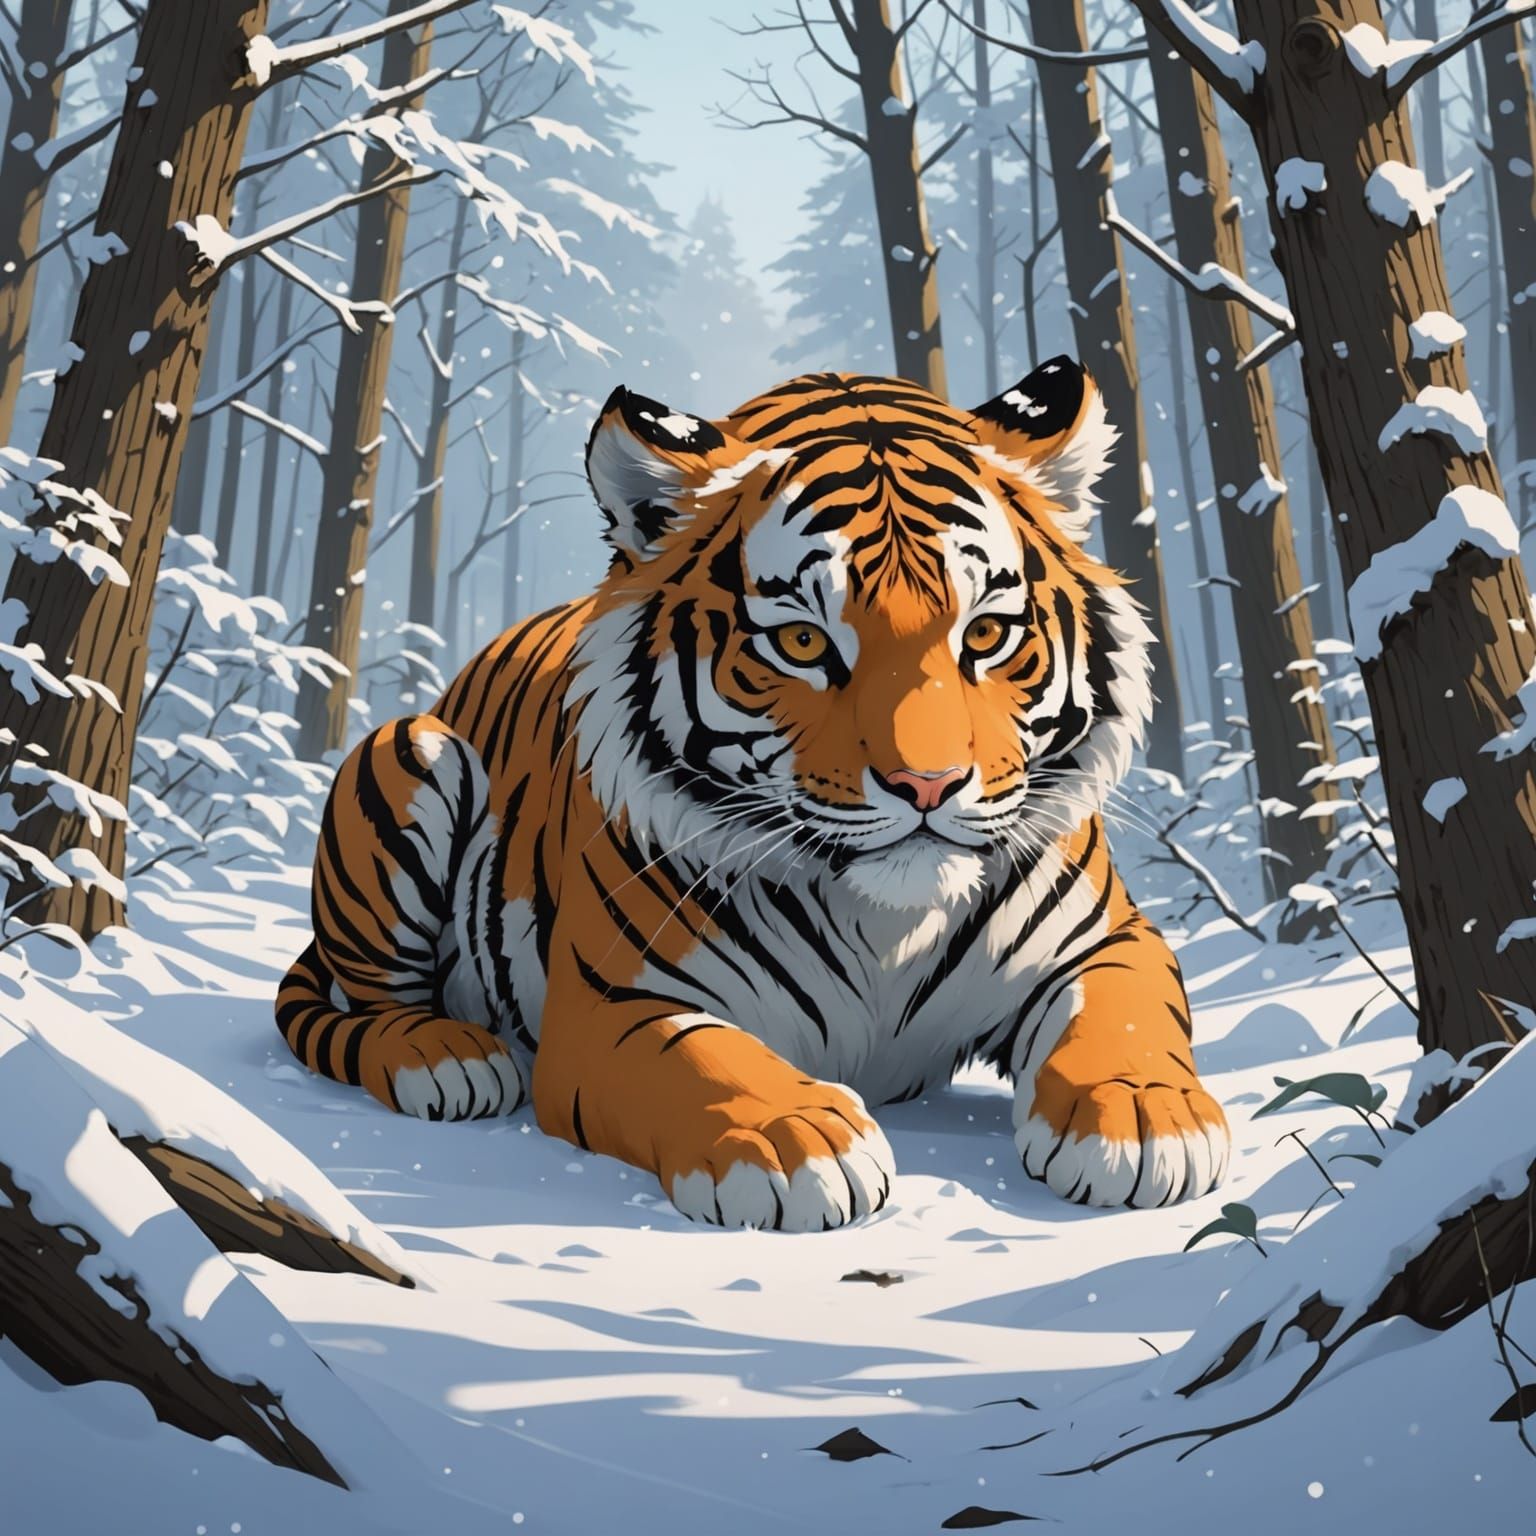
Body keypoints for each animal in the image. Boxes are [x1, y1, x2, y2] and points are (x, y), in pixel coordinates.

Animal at [276, 360, 1231, 1229]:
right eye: (804, 642)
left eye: (988, 633)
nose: (927, 784)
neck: (887, 925)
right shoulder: (618, 1005)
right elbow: (707, 1061)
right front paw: (794, 1140)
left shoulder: (1111, 940)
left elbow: (1120, 1015)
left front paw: (1143, 1116)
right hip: (411, 754)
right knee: (370, 1006)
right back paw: (446, 1057)